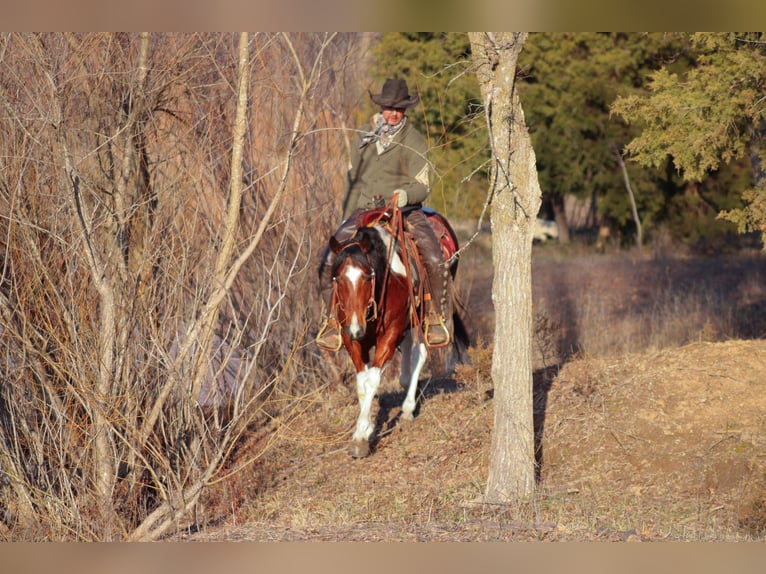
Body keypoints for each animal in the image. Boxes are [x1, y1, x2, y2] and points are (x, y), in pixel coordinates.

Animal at [326, 207, 468, 460]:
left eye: (367, 276)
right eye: (338, 278)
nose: (356, 329)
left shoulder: (390, 333)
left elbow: (373, 379)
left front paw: (361, 437)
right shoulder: (351, 339)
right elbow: (362, 382)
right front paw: (365, 426)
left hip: (421, 315)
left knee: (420, 352)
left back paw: (408, 408)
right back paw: (404, 382)